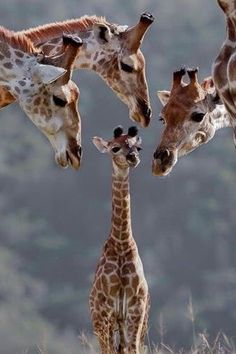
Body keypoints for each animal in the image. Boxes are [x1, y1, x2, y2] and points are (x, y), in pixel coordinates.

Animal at [90, 126, 149, 354]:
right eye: (114, 148)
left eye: (137, 147)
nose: (133, 158)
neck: (122, 243)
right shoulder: (106, 310)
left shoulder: (135, 307)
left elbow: (133, 349)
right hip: (100, 320)